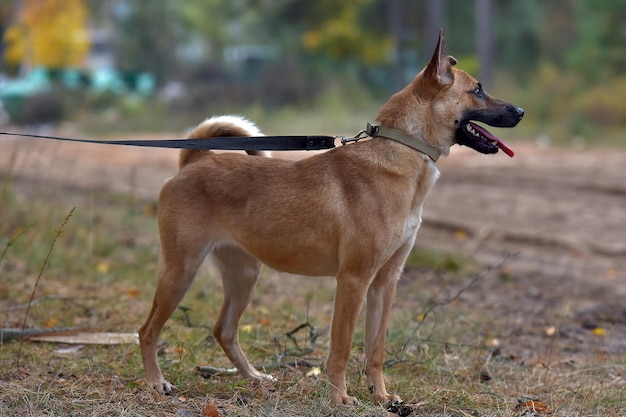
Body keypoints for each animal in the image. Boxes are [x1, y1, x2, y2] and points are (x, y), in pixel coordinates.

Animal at [140, 30, 520, 404]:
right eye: (477, 90)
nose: (520, 110)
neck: (402, 150)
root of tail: (194, 161)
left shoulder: (385, 283)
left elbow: (376, 349)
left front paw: (380, 395)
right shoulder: (354, 280)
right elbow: (343, 348)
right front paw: (340, 397)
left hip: (244, 274)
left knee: (225, 330)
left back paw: (254, 377)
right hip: (181, 272)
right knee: (148, 331)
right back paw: (157, 383)